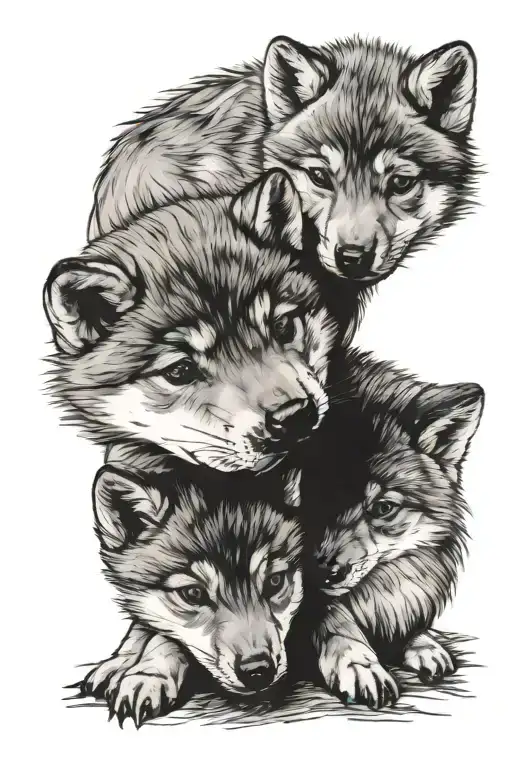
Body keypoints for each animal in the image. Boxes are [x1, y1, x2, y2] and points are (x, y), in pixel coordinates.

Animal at [83, 462, 303, 727]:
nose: (259, 671)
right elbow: (148, 625)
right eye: (194, 593)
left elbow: (164, 639)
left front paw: (147, 676)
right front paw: (121, 662)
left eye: (274, 581)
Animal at [295, 349, 484, 709]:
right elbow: (332, 620)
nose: (324, 574)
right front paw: (358, 664)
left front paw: (422, 642)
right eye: (308, 501)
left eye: (384, 508)